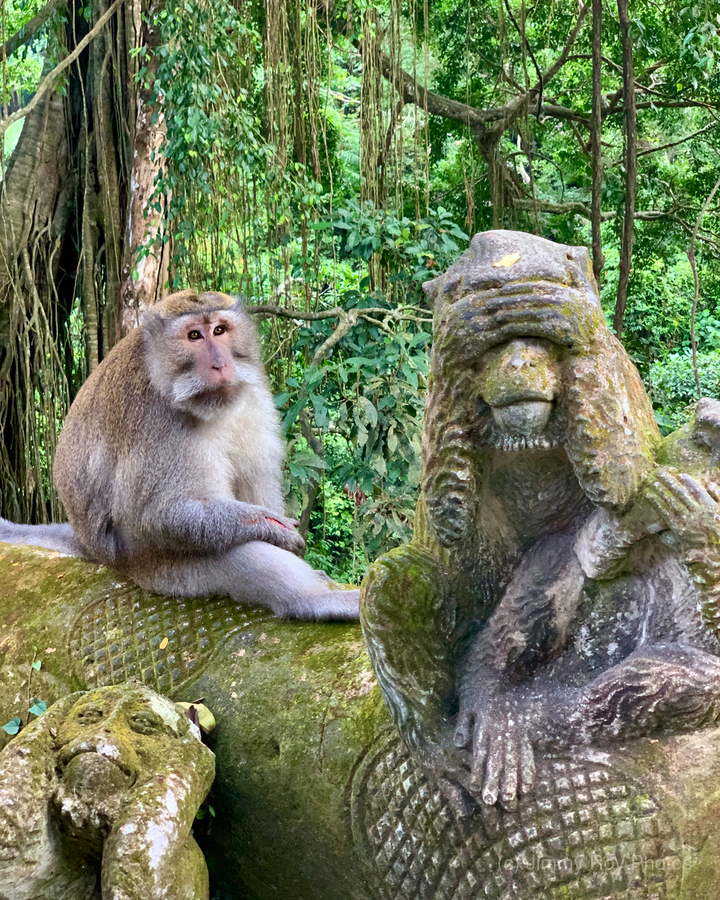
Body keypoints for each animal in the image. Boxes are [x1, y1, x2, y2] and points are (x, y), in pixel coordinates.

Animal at [0, 290, 359, 621]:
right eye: (194, 336)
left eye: (219, 330)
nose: (220, 364)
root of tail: (92, 548)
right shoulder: (156, 419)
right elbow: (159, 516)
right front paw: (267, 524)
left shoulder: (254, 395)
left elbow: (256, 480)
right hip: (158, 569)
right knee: (231, 548)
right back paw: (311, 600)